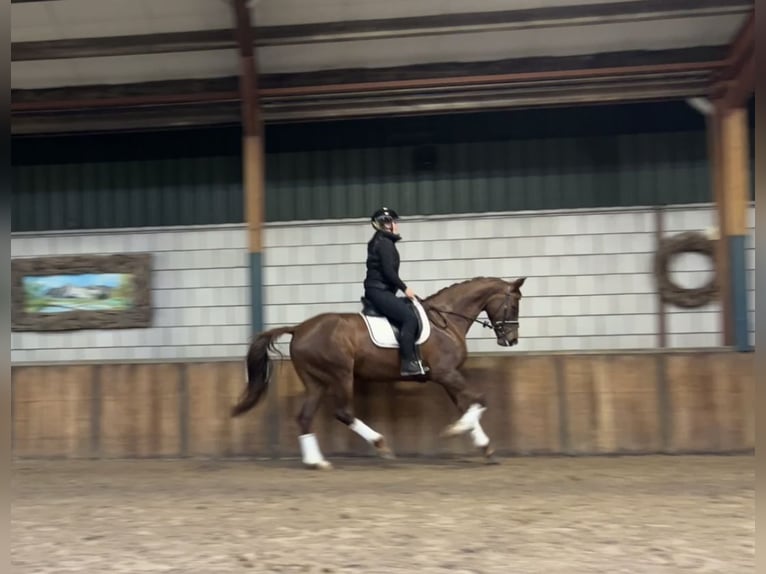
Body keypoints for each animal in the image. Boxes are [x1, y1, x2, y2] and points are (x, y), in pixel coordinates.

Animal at [231, 276, 524, 470]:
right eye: (515, 305)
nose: (511, 340)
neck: (447, 321)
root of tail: (299, 328)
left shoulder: (448, 376)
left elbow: (468, 404)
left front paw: (485, 448)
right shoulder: (445, 373)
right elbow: (480, 400)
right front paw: (456, 430)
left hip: (316, 381)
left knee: (304, 417)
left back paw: (317, 462)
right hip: (340, 375)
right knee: (343, 412)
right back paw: (381, 445)